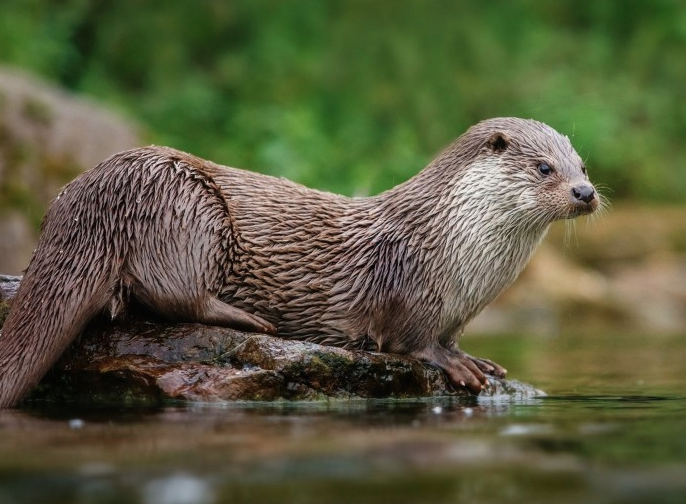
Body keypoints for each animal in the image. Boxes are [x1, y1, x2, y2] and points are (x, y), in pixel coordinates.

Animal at [0, 117, 598, 407]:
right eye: (545, 168)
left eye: (582, 164)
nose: (586, 192)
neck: (453, 247)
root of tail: (85, 194)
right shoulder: (410, 289)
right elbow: (411, 341)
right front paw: (456, 364)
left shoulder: (457, 310)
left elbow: (452, 338)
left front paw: (480, 360)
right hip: (185, 208)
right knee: (174, 294)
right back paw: (250, 319)